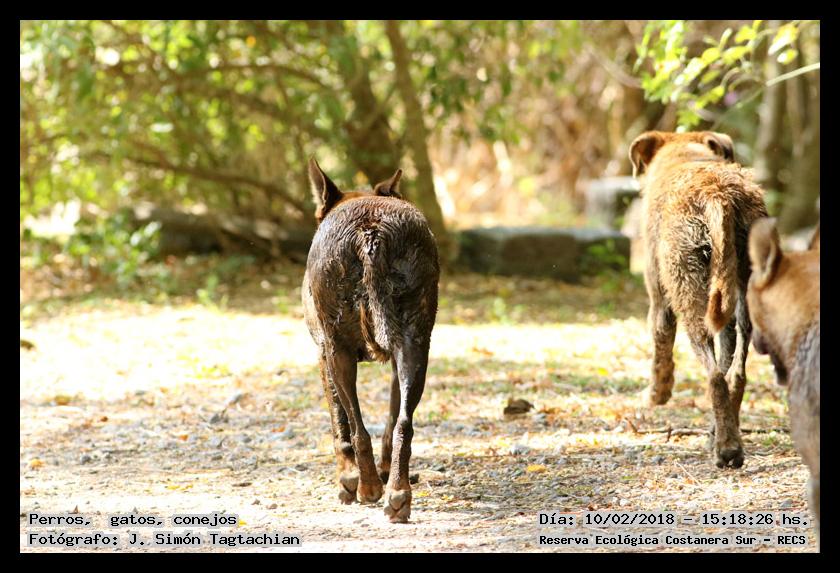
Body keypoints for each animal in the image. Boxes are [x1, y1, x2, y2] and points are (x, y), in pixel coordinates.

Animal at [301, 159, 439, 523]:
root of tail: (371, 231)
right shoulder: (395, 361)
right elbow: (391, 419)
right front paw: (386, 470)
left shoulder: (323, 354)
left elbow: (339, 423)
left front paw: (348, 480)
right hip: (415, 344)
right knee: (403, 424)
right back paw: (397, 493)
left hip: (339, 350)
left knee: (358, 428)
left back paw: (368, 488)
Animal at [629, 131, 768, 468]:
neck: (684, 153)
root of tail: (719, 195)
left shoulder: (659, 297)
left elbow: (661, 348)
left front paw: (656, 395)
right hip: (741, 295)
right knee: (735, 374)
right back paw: (722, 437)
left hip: (689, 296)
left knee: (715, 376)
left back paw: (726, 451)